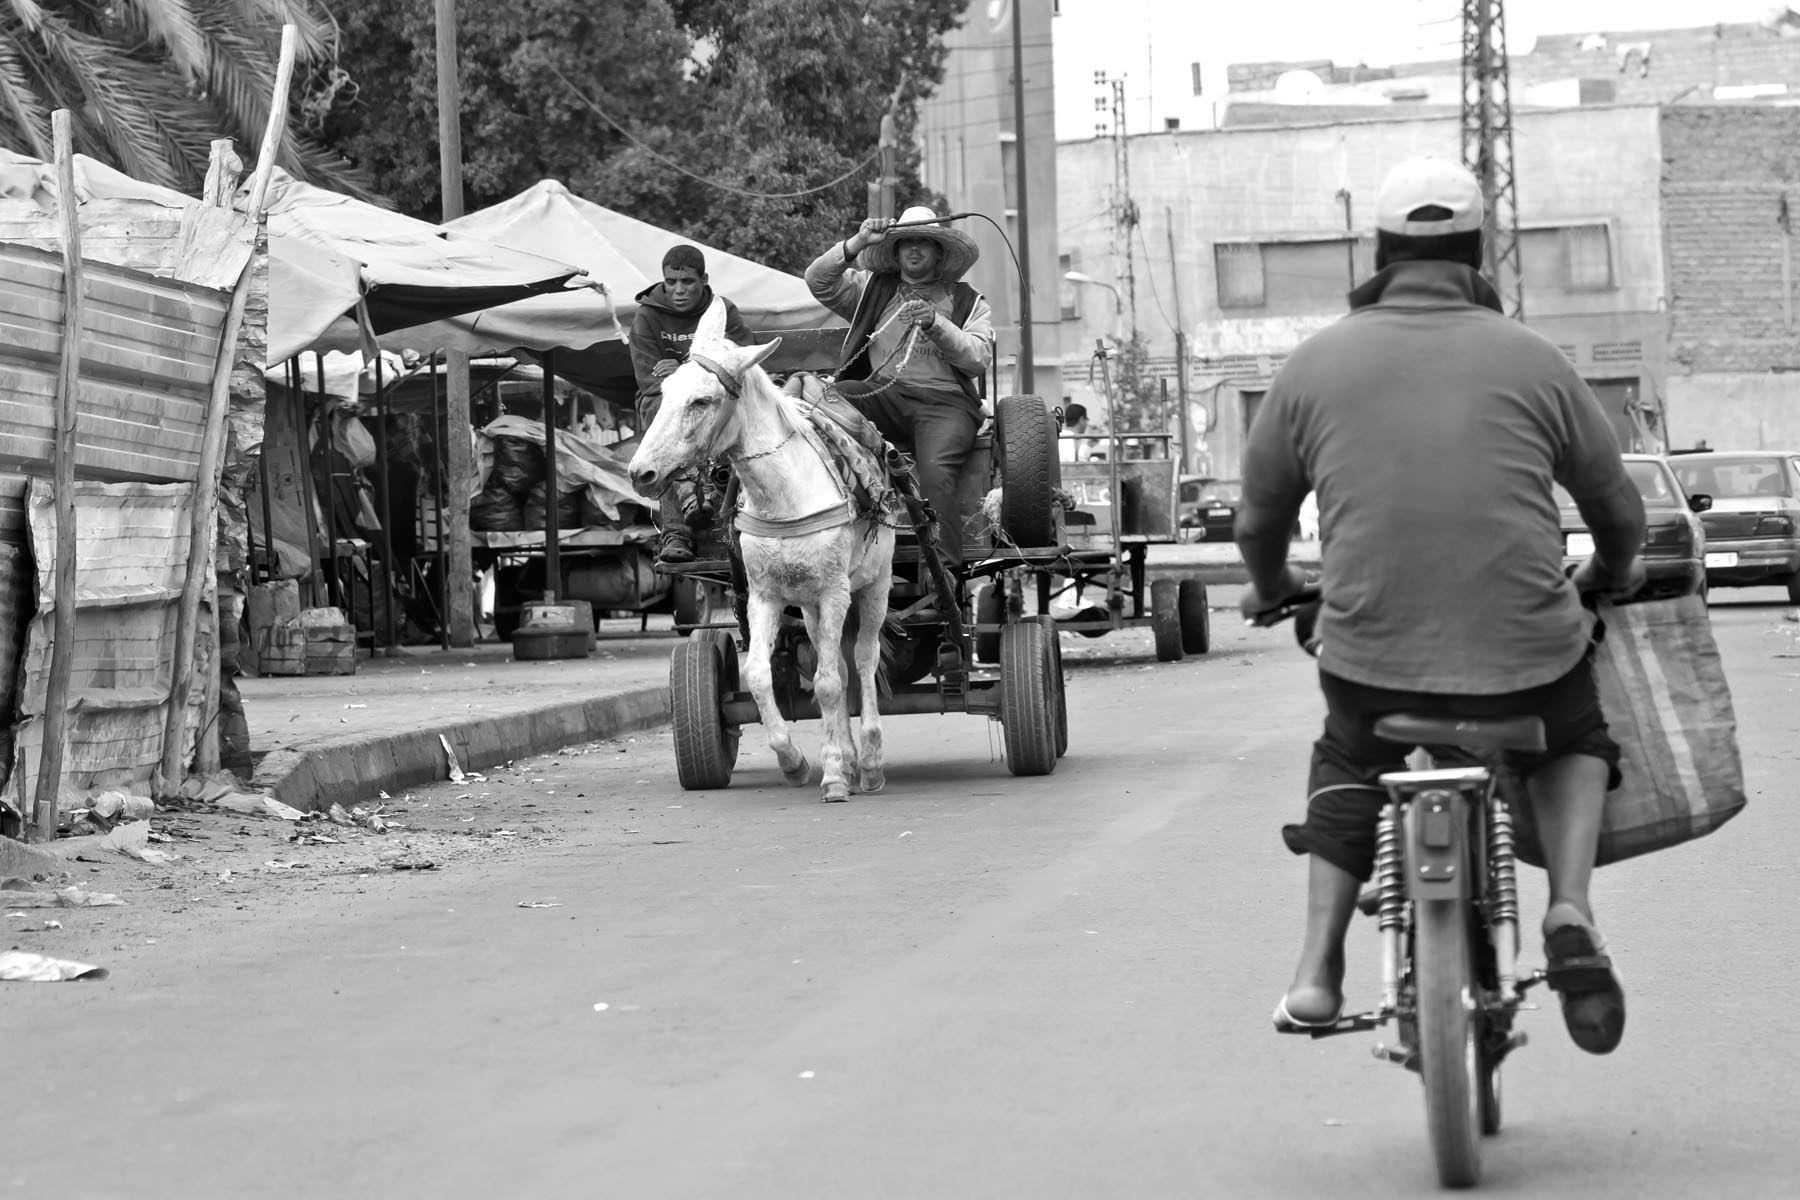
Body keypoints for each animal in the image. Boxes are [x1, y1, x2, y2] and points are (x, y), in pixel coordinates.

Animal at [630, 300, 896, 805]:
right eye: (666, 390)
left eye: (701, 401)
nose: (640, 472)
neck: (785, 494)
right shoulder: (764, 595)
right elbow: (759, 676)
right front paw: (796, 762)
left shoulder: (836, 592)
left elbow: (828, 683)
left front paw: (834, 778)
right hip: (809, 606)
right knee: (841, 666)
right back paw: (850, 758)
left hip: (876, 585)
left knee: (864, 659)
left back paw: (871, 762)